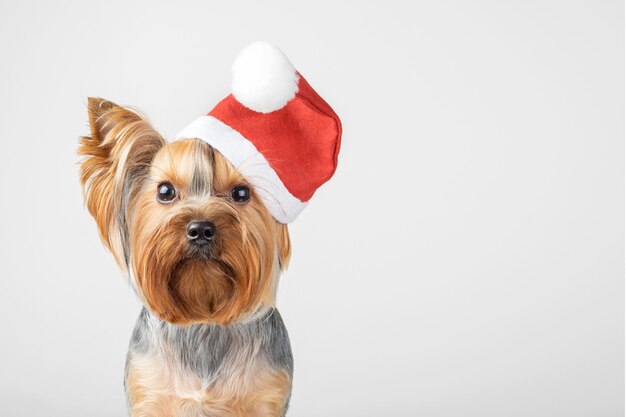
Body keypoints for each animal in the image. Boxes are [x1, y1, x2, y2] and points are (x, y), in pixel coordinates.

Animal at [79, 40, 342, 414]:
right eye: (165, 191)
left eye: (241, 193)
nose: (200, 228)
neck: (204, 320)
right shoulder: (147, 393)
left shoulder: (267, 397)